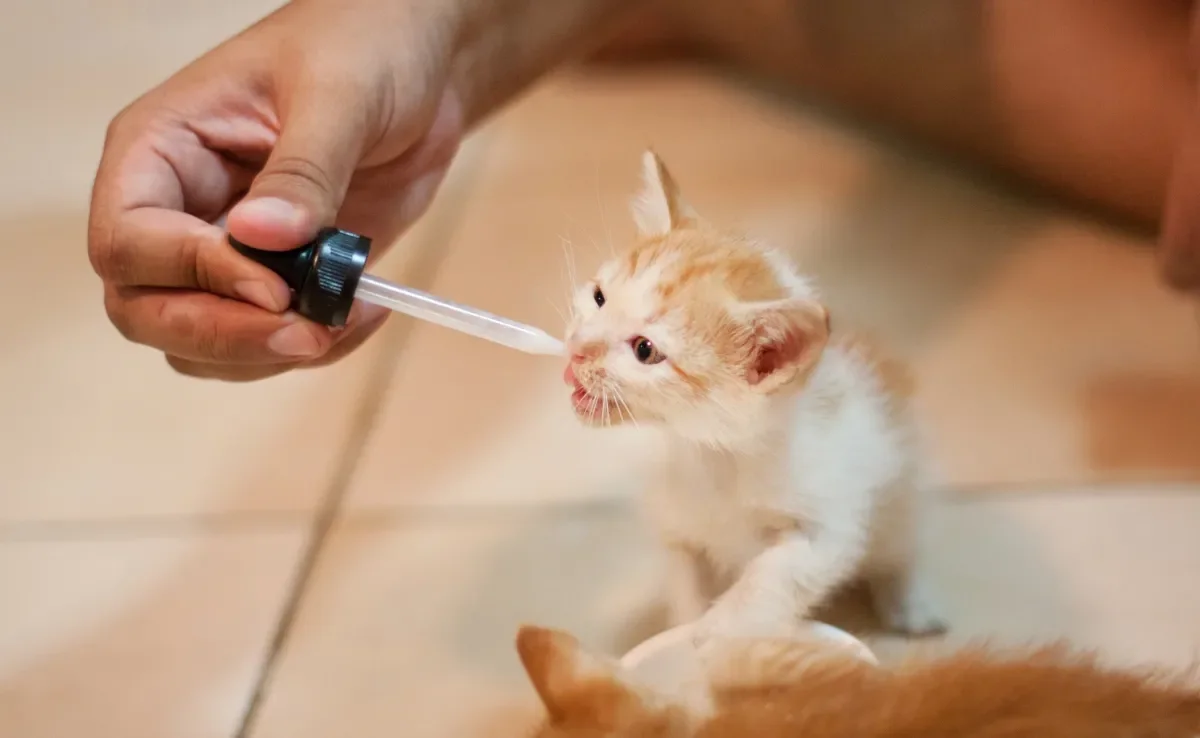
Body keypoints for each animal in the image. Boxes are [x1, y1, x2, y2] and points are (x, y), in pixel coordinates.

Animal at [566, 151, 940, 643]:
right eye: (598, 297)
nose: (575, 348)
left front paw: (712, 637)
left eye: (645, 350)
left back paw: (911, 604)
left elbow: (772, 581)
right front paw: (684, 630)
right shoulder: (676, 520)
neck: (717, 454)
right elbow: (685, 573)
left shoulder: (827, 524)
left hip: (902, 487)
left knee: (902, 546)